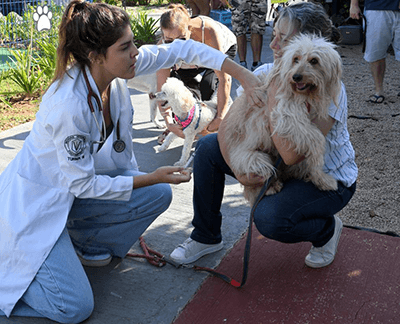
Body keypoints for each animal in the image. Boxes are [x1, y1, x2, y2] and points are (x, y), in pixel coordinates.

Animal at [223, 33, 342, 205]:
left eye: (314, 60)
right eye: (295, 59)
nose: (296, 77)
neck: (305, 95)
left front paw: (318, 177)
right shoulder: (287, 116)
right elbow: (317, 139)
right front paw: (321, 176)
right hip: (256, 159)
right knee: (259, 181)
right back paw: (271, 187)